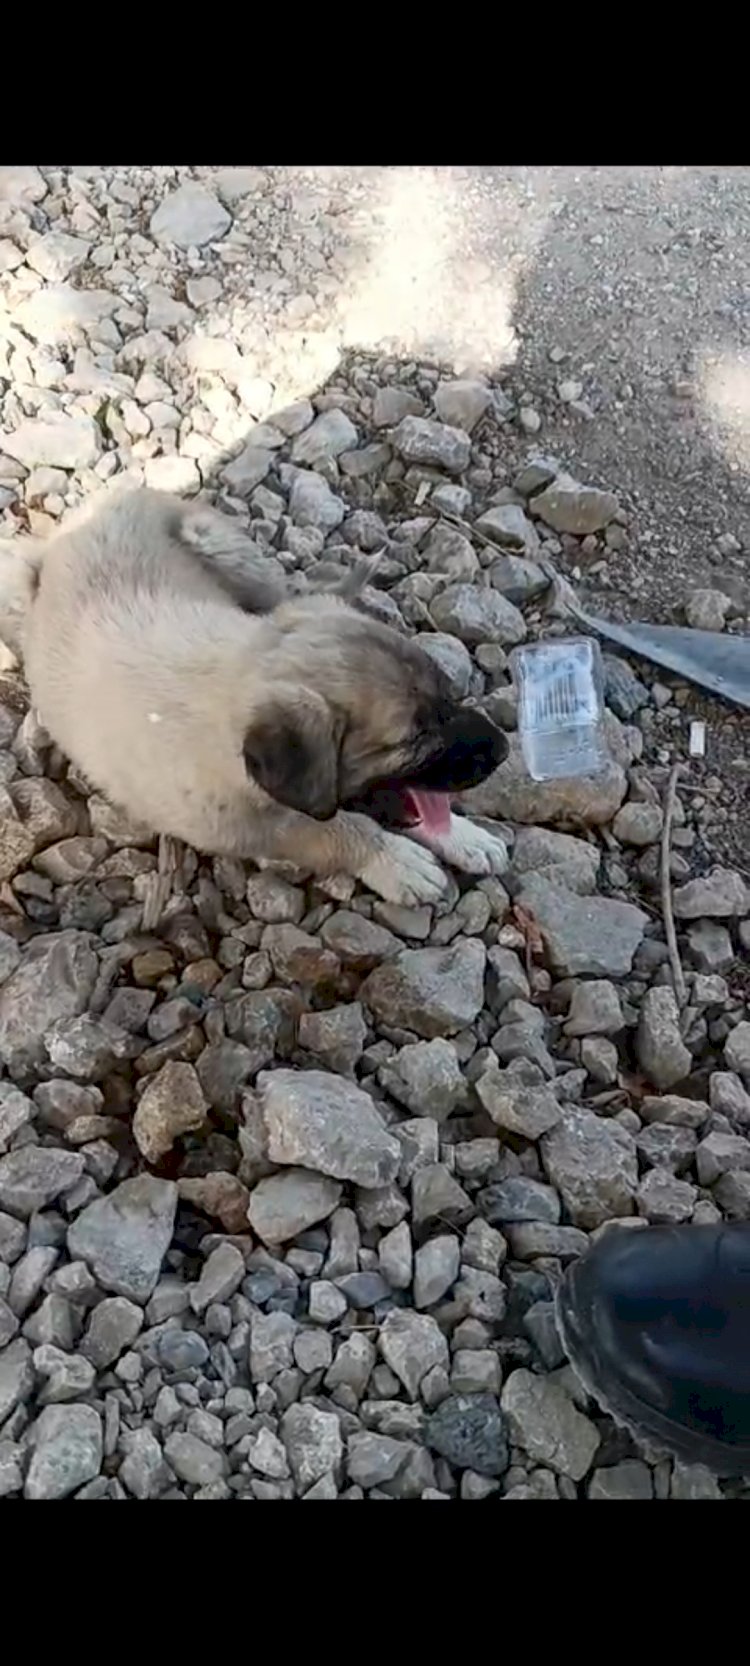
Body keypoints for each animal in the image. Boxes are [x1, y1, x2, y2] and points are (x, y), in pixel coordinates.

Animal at [20, 489, 510, 912]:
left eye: (448, 696)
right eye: (414, 738)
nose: (505, 750)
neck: (231, 677)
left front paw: (465, 838)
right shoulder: (250, 828)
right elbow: (337, 828)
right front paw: (396, 860)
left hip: (231, 552)